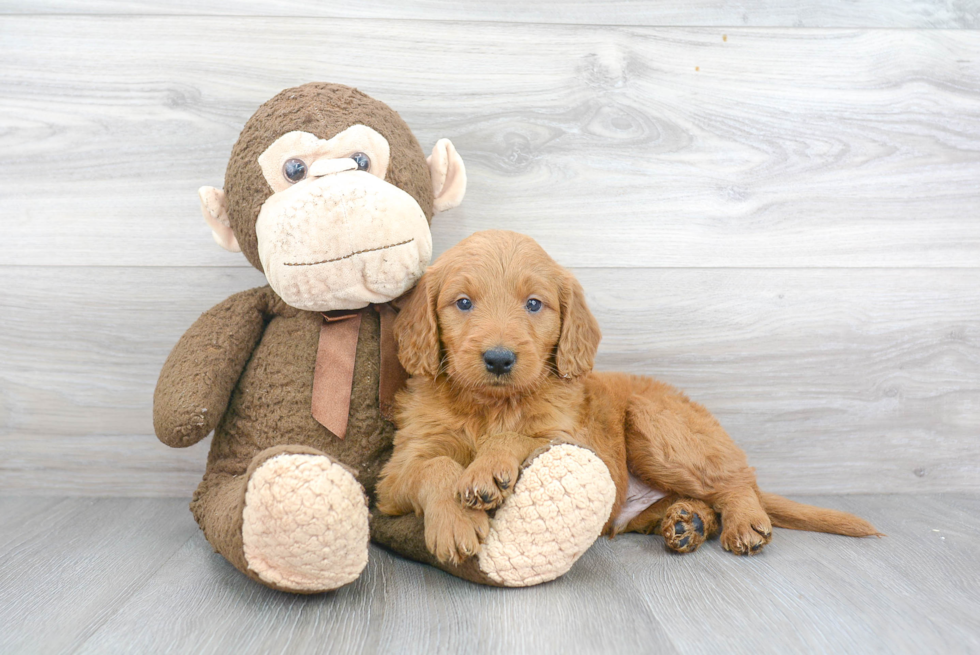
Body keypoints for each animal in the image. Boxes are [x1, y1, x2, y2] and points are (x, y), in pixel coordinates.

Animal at [378, 231, 880, 564]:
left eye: (534, 305)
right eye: (462, 303)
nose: (499, 359)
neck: (490, 406)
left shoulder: (573, 439)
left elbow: (521, 437)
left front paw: (487, 470)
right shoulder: (396, 470)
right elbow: (436, 467)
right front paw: (456, 522)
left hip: (657, 425)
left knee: (735, 482)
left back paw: (741, 522)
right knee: (702, 499)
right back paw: (688, 522)